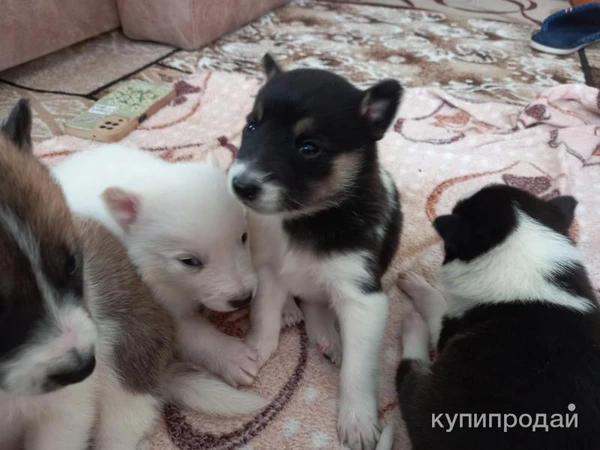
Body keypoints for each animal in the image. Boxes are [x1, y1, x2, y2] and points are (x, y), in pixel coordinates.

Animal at [55, 145, 262, 386]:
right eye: (189, 261)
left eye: (244, 237)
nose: (243, 299)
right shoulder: (152, 290)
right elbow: (187, 331)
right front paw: (233, 357)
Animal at [230, 53, 404, 450]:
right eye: (251, 126)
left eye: (309, 148)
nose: (240, 185)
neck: (304, 219)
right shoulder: (266, 269)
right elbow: (263, 316)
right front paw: (255, 352)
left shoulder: (361, 296)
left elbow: (357, 368)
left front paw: (357, 420)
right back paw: (294, 313)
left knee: (319, 305)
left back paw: (330, 338)